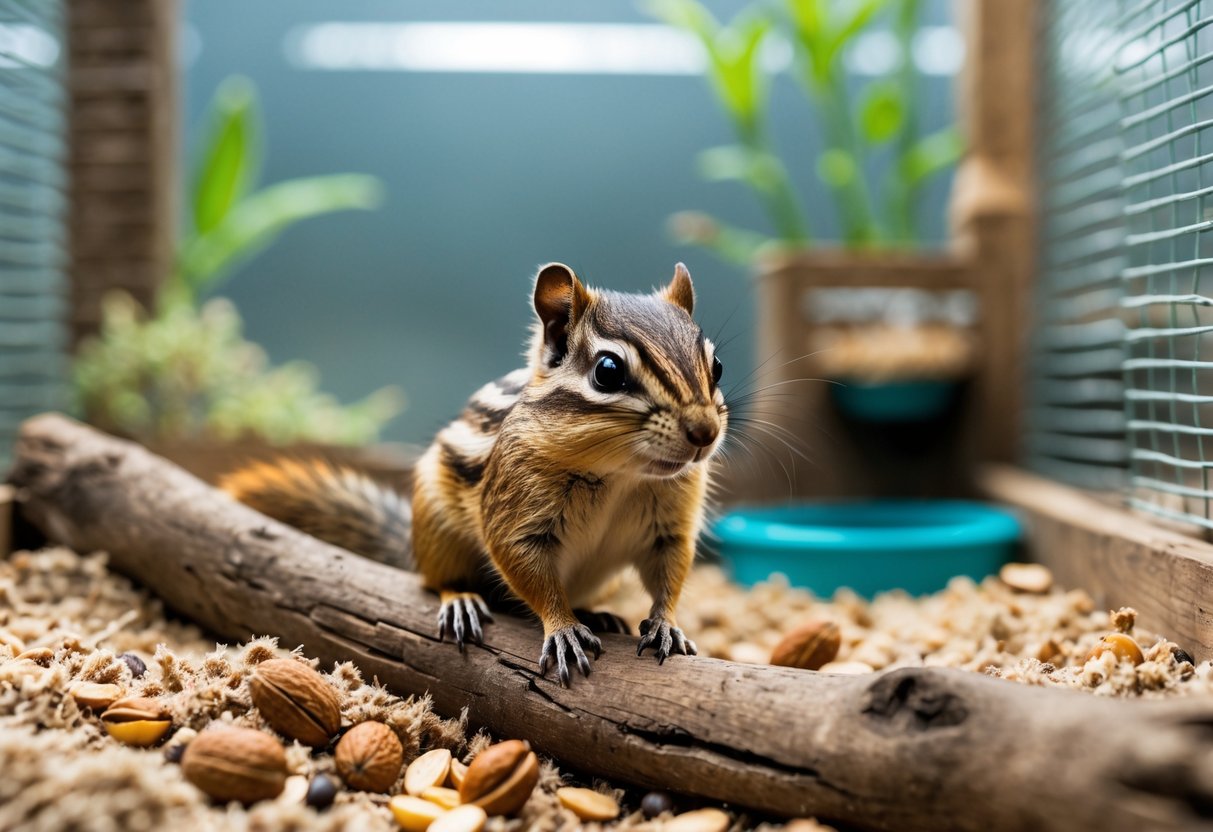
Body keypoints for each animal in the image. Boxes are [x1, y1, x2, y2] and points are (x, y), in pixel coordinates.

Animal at [222, 262, 727, 685]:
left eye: (717, 366)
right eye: (607, 371)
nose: (705, 432)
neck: (623, 475)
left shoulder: (670, 528)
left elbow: (670, 575)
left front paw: (666, 625)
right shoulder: (515, 518)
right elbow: (531, 575)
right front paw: (563, 628)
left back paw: (597, 613)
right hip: (438, 529)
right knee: (437, 580)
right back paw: (461, 601)